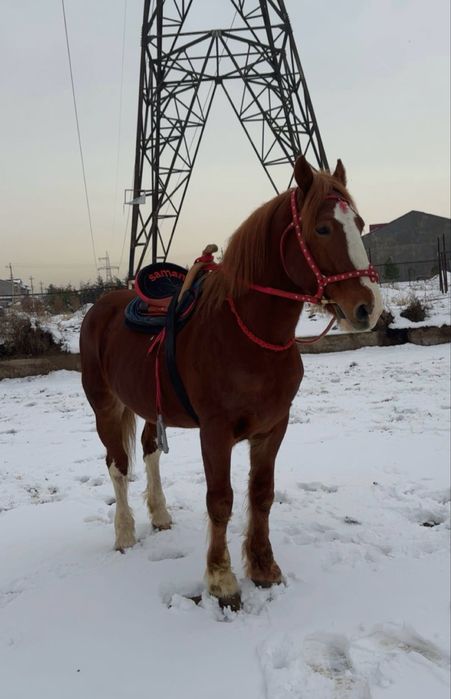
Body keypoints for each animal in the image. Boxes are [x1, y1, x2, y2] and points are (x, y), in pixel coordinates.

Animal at [80, 155, 382, 609]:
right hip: (105, 406)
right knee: (117, 465)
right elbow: (221, 501)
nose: (368, 307)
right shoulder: (215, 433)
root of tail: (102, 306)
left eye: (360, 224)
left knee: (149, 452)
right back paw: (125, 533)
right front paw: (222, 582)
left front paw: (264, 568)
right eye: (322, 228)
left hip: (149, 407)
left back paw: (160, 515)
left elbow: (261, 494)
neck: (247, 334)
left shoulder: (273, 428)